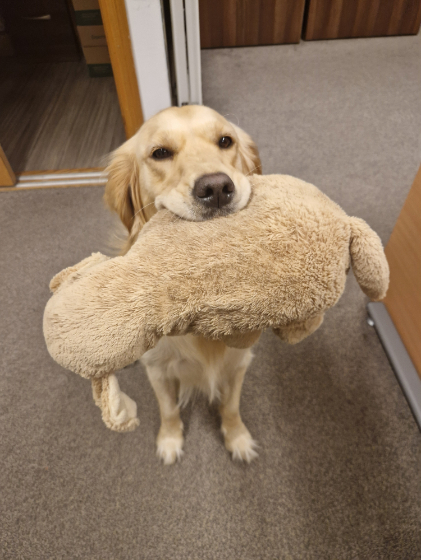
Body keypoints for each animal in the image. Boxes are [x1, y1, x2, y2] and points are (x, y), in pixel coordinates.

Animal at [104, 105, 260, 464]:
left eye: (225, 141)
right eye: (160, 153)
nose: (216, 188)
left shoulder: (239, 363)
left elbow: (231, 407)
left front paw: (238, 438)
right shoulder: (159, 370)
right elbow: (169, 410)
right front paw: (170, 440)